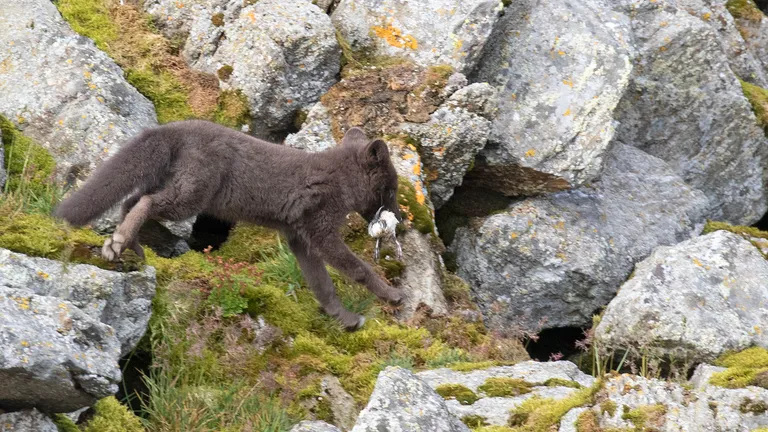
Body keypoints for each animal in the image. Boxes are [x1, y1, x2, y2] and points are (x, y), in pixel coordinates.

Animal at [52, 120, 404, 330]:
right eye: (393, 189)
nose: (400, 218)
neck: (340, 180)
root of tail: (175, 127)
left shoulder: (297, 236)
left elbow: (321, 283)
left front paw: (345, 318)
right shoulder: (320, 227)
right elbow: (357, 269)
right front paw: (392, 295)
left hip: (173, 184)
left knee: (130, 201)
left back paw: (133, 248)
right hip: (191, 196)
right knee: (144, 202)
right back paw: (118, 243)